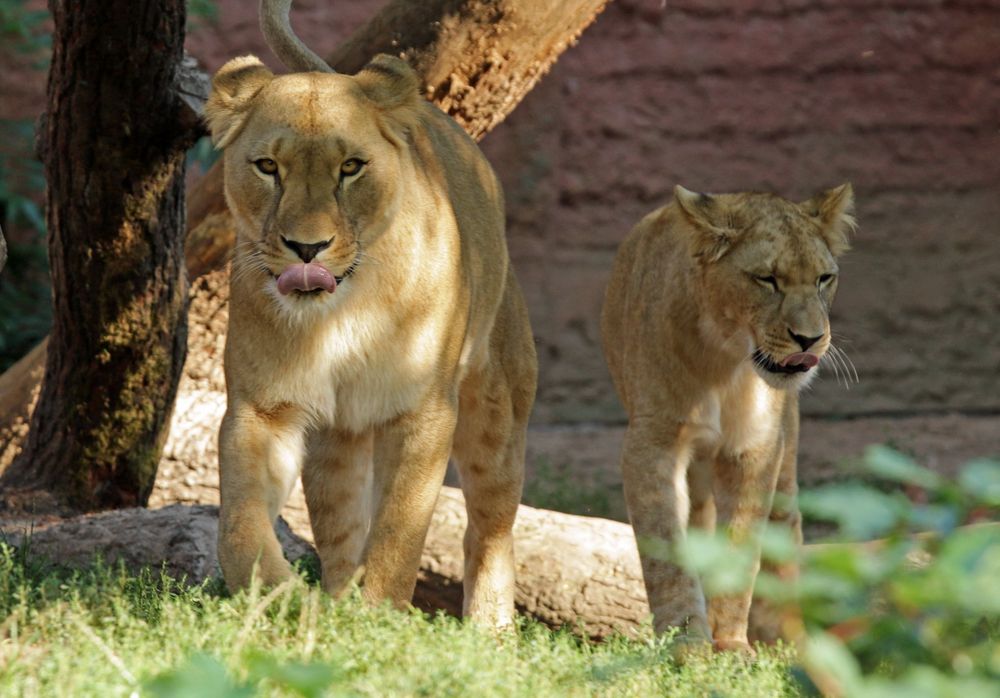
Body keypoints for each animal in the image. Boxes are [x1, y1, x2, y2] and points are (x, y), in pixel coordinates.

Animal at [205, 0, 540, 624]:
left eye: (351, 168)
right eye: (267, 166)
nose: (306, 248)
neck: (338, 314)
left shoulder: (424, 411)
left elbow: (400, 529)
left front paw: (382, 618)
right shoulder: (263, 408)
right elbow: (239, 525)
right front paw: (282, 599)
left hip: (499, 408)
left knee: (491, 524)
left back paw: (490, 627)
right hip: (337, 438)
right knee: (340, 524)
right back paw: (337, 607)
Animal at [596, 184, 856, 648]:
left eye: (824, 278)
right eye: (766, 279)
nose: (810, 339)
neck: (726, 361)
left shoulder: (757, 448)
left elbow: (742, 548)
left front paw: (731, 644)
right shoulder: (652, 443)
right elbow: (666, 552)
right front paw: (687, 644)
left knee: (784, 525)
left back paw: (786, 640)